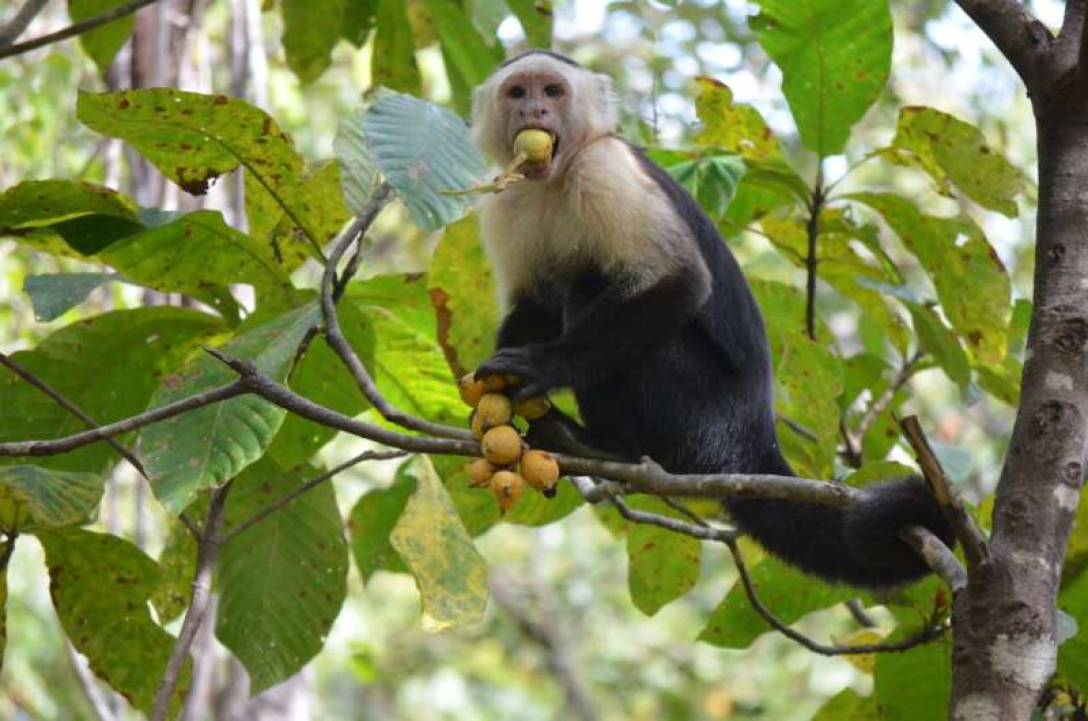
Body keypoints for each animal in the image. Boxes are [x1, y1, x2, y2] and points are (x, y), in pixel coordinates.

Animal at [467, 52, 953, 591]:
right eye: (517, 92)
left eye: (552, 91)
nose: (534, 111)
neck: (555, 178)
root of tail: (752, 435)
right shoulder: (504, 200)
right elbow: (531, 306)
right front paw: (493, 398)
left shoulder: (606, 169)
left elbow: (680, 282)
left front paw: (544, 367)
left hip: (701, 413)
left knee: (594, 289)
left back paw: (607, 445)